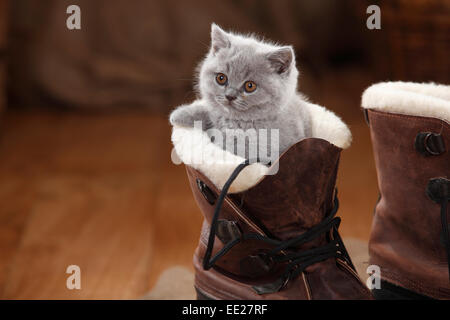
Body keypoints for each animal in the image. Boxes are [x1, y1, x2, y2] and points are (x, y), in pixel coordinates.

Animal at [169, 23, 310, 160]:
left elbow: (229, 146)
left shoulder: (262, 148)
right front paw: (181, 113)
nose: (229, 96)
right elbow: (211, 113)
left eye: (250, 86)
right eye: (221, 78)